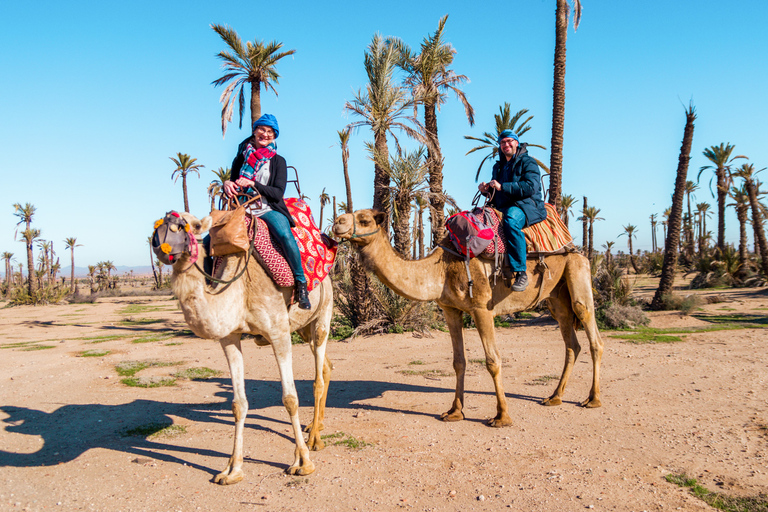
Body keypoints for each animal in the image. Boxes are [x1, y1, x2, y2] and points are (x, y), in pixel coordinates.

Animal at [152, 212, 332, 484]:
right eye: (158, 224)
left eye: (193, 226)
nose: (158, 243)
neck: (240, 289)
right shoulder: (230, 337)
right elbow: (238, 404)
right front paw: (231, 470)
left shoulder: (278, 332)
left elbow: (290, 398)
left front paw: (302, 462)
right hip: (303, 327)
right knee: (327, 367)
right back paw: (316, 426)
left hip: (323, 312)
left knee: (318, 375)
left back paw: (314, 440)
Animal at [332, 210, 604, 426]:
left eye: (364, 220)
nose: (337, 222)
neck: (440, 270)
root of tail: (574, 247)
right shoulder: (450, 309)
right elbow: (458, 361)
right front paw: (454, 411)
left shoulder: (482, 308)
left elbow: (493, 361)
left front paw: (501, 417)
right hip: (556, 298)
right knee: (572, 343)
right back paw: (554, 397)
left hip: (577, 272)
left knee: (592, 333)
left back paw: (593, 399)